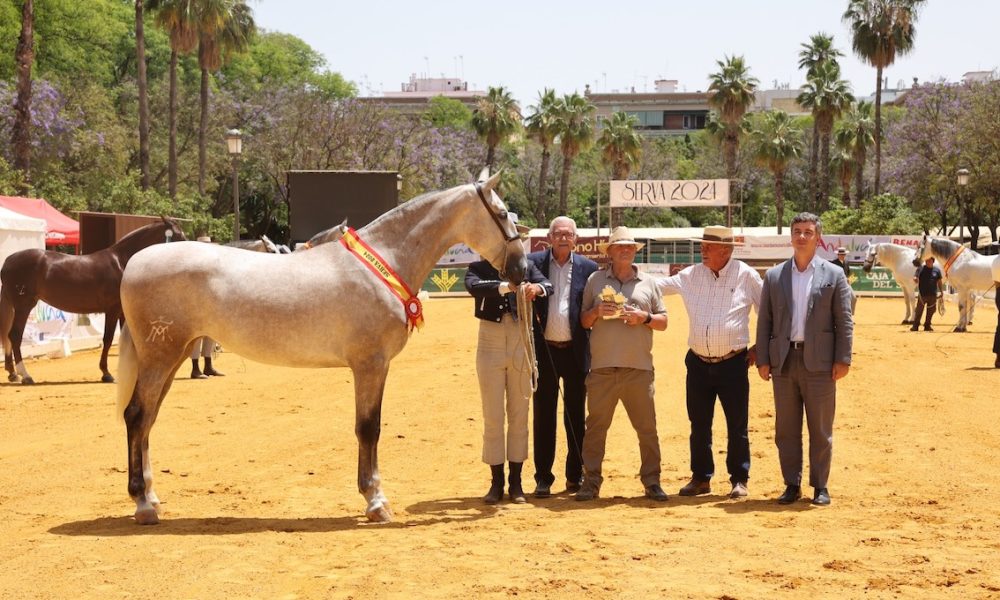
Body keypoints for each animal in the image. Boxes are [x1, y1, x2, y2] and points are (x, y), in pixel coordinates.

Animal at [0, 218, 186, 384]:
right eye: (178, 235)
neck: (122, 263)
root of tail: (8, 261)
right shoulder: (112, 310)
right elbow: (108, 339)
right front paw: (106, 374)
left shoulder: (122, 312)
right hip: (24, 306)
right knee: (15, 335)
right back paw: (26, 376)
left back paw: (13, 374)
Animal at [115, 173, 525, 525]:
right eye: (503, 213)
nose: (520, 269)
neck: (382, 263)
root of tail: (135, 262)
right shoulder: (371, 364)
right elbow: (368, 428)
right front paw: (376, 501)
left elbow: (369, 427)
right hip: (159, 357)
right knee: (137, 416)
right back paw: (142, 504)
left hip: (172, 357)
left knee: (148, 420)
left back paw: (152, 498)